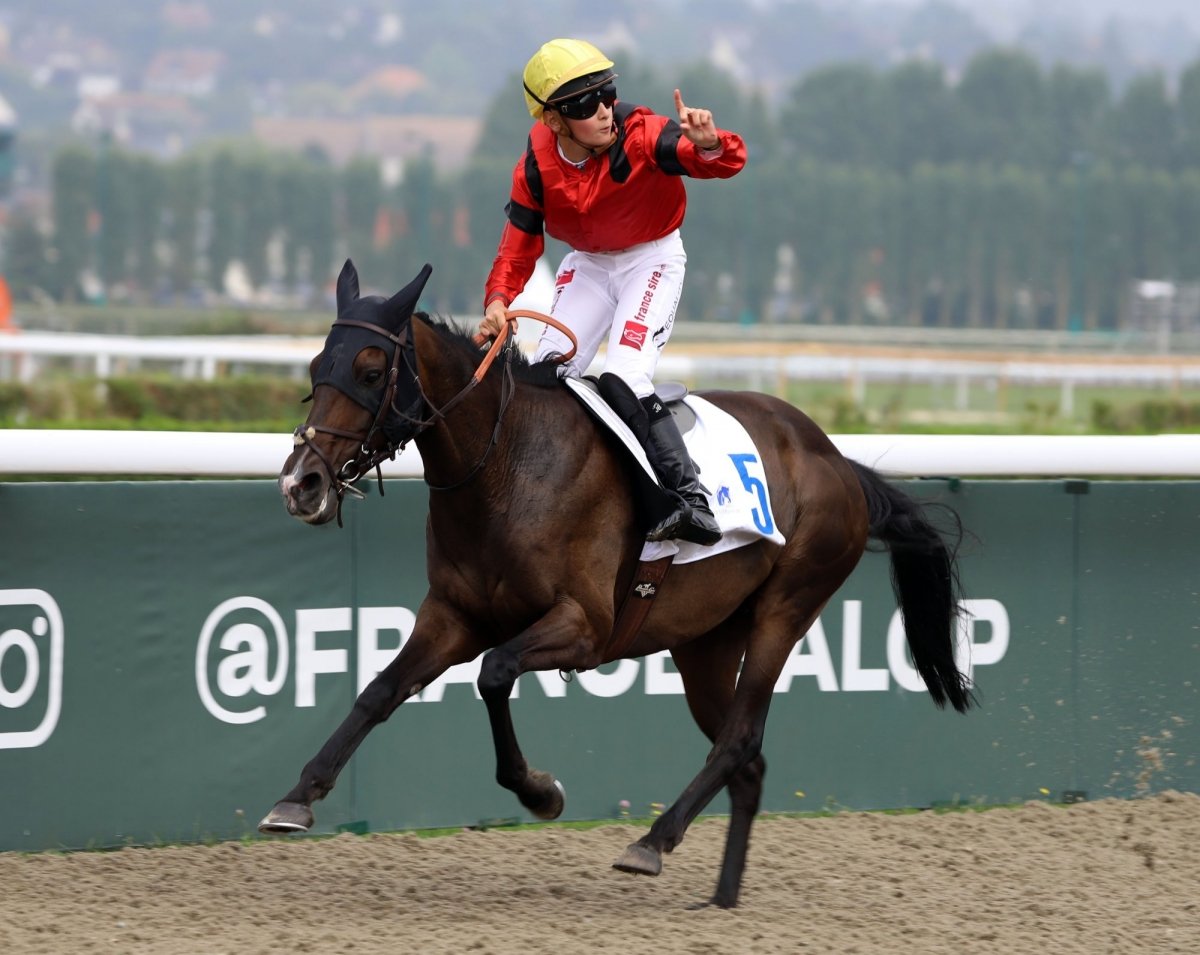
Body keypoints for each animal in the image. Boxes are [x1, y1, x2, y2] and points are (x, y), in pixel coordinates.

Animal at [262, 260, 974, 909]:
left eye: (371, 370)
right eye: (316, 367)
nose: (301, 483)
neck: (509, 464)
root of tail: (839, 460)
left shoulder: (584, 626)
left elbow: (494, 673)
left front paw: (540, 791)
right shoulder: (452, 616)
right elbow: (378, 691)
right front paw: (296, 798)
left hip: (787, 607)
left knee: (741, 738)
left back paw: (651, 842)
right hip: (704, 642)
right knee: (746, 761)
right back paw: (722, 898)